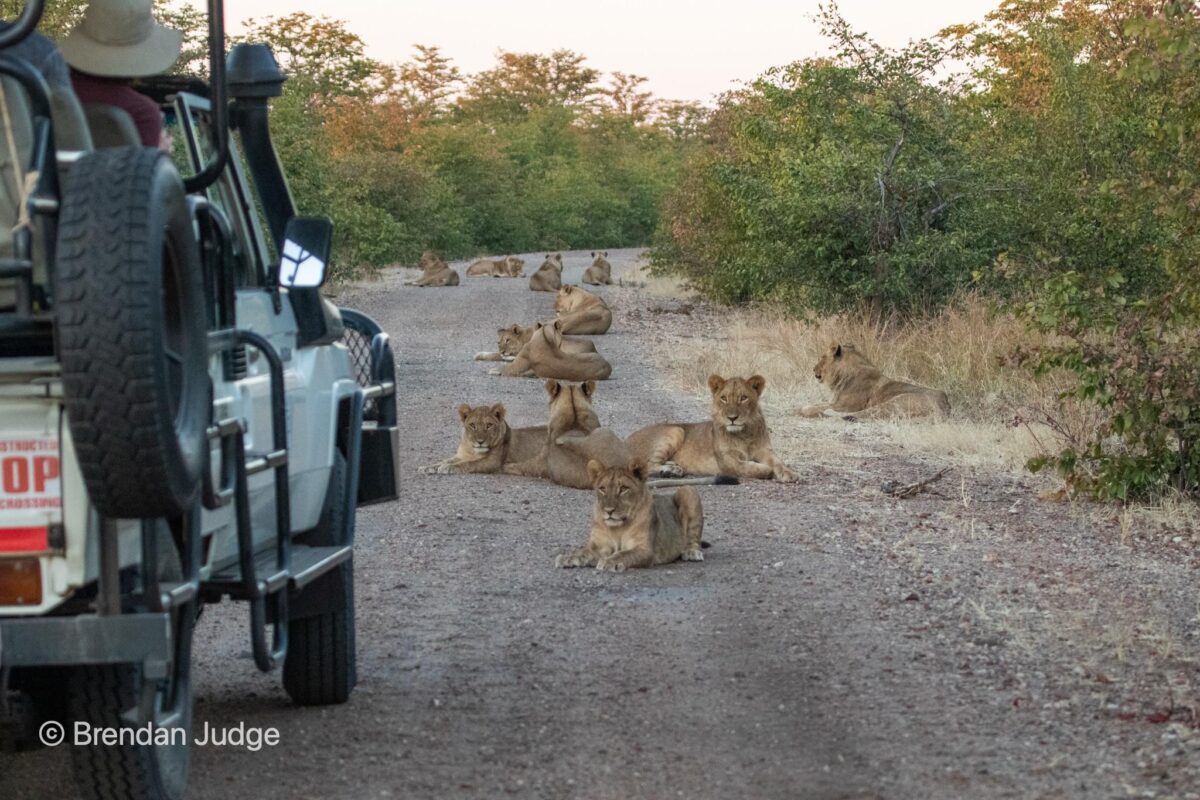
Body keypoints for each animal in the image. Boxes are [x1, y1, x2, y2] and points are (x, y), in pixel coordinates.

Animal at [417, 380, 601, 476]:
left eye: (489, 425)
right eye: (472, 425)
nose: (480, 441)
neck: (471, 449)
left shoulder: (491, 463)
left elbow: (467, 465)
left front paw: (447, 468)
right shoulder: (461, 455)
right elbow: (445, 460)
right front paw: (429, 467)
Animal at [555, 460, 705, 572]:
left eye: (623, 489)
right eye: (602, 489)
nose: (609, 511)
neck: (617, 528)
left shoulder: (644, 549)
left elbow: (623, 554)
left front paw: (608, 562)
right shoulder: (599, 546)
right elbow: (583, 552)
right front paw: (567, 557)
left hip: (688, 490)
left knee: (693, 537)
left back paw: (691, 552)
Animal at [626, 374, 798, 482]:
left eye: (743, 398)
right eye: (724, 398)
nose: (732, 418)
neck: (744, 434)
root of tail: (625, 440)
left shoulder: (765, 451)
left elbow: (778, 463)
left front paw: (790, 474)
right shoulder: (728, 460)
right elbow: (752, 468)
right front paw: (767, 470)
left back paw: (673, 468)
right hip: (676, 430)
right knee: (646, 465)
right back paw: (671, 471)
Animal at [795, 343, 951, 419]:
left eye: (822, 358)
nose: (813, 369)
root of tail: (945, 404)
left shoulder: (844, 405)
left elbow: (816, 407)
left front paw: (804, 410)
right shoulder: (835, 402)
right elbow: (816, 404)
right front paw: (798, 408)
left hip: (896, 401)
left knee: (864, 413)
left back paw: (830, 413)